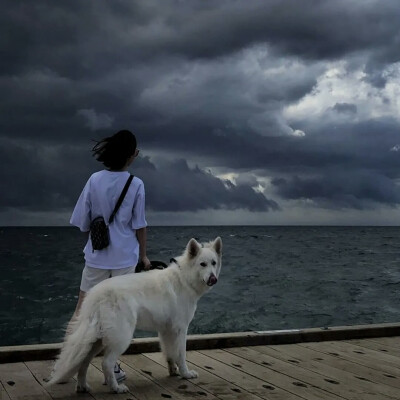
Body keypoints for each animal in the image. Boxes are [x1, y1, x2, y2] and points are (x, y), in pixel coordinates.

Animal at [47, 238, 222, 394]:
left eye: (213, 263)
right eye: (202, 264)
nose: (213, 279)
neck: (184, 277)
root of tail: (96, 295)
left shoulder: (166, 331)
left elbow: (170, 353)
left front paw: (173, 371)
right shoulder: (180, 329)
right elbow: (181, 354)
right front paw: (186, 374)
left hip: (96, 340)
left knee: (83, 362)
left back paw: (83, 387)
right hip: (121, 337)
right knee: (106, 363)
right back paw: (116, 388)